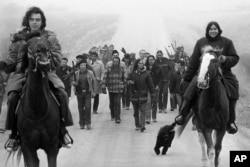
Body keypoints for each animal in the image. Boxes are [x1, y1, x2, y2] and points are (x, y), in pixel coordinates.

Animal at [15, 36, 61, 167]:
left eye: (48, 43)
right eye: (29, 43)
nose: (44, 63)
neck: (37, 112)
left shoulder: (52, 147)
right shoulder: (27, 148)